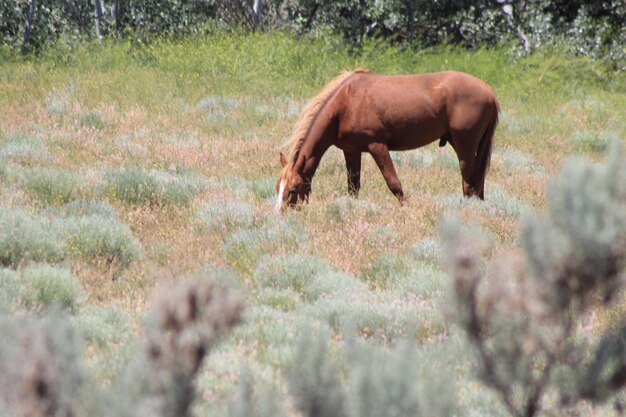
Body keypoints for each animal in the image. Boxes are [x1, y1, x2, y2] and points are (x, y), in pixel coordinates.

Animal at [276, 69, 500, 211]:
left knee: (469, 183)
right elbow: (353, 186)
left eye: (293, 189)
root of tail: (489, 91)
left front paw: (406, 209)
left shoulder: (377, 147)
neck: (345, 104)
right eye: (278, 187)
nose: (281, 214)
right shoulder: (351, 150)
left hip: (464, 147)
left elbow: (393, 182)